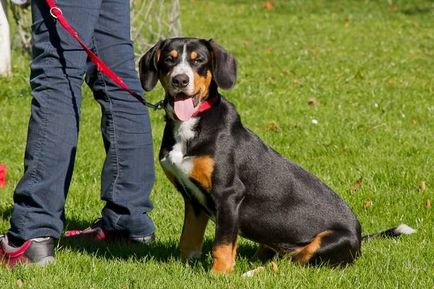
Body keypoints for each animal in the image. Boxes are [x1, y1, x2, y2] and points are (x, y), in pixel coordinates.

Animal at [139, 36, 414, 272]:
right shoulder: (193, 198)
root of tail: (359, 236)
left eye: (199, 60)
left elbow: (222, 245)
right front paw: (184, 268)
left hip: (326, 242)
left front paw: (219, 275)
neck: (191, 124)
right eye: (169, 59)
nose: (180, 80)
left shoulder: (228, 194)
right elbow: (188, 239)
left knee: (293, 263)